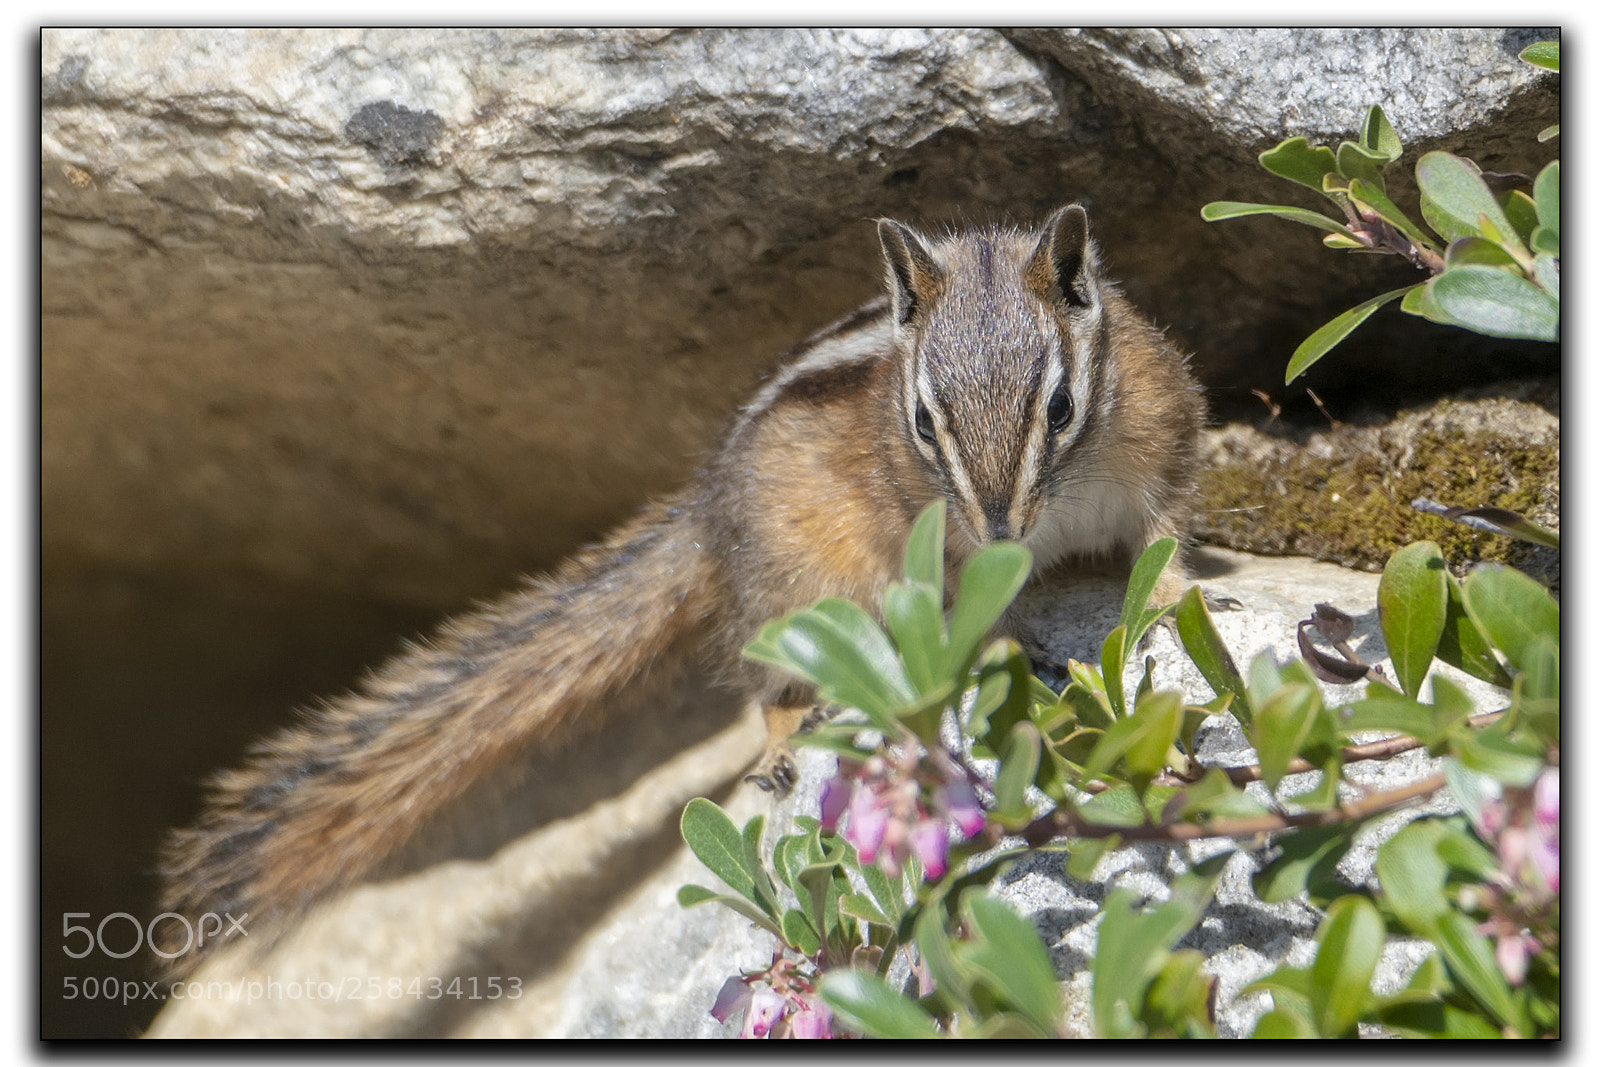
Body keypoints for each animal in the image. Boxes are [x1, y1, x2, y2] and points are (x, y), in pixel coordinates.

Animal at [157, 204, 1205, 974]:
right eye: (920, 421)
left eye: (1060, 405)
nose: (998, 528)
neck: (1050, 513)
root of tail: (706, 510)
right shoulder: (931, 544)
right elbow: (964, 614)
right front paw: (1002, 639)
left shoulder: (1163, 436)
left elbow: (1163, 537)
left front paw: (1170, 600)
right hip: (800, 586)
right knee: (763, 674)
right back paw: (783, 737)